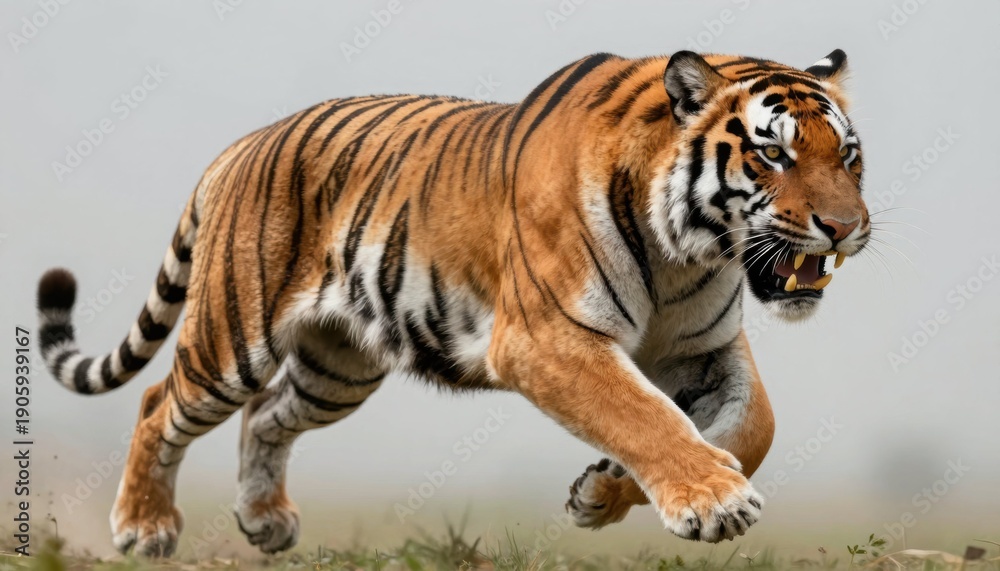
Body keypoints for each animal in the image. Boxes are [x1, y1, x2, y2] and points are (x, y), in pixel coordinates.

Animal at [37, 49, 869, 556]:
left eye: (848, 156)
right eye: (773, 153)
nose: (847, 227)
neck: (685, 252)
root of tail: (239, 146)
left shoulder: (702, 349)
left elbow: (753, 426)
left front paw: (602, 495)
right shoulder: (550, 337)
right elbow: (642, 415)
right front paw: (714, 500)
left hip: (337, 369)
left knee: (267, 414)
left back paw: (265, 520)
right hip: (234, 335)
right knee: (159, 402)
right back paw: (144, 527)